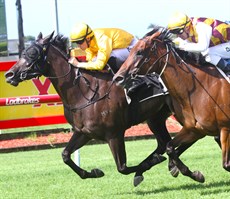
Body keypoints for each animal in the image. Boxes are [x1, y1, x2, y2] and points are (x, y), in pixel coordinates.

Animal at [4, 31, 180, 187]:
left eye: (33, 53)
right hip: (155, 118)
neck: (85, 93)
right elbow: (65, 155)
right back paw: (169, 164)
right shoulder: (83, 132)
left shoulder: (114, 134)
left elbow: (122, 168)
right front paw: (93, 172)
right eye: (23, 52)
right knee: (163, 142)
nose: (9, 75)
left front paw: (150, 165)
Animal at [114, 25, 229, 183]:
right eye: (130, 51)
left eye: (139, 52)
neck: (197, 90)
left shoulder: (225, 128)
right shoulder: (195, 130)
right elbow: (170, 148)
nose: (118, 78)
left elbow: (226, 164)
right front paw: (195, 175)